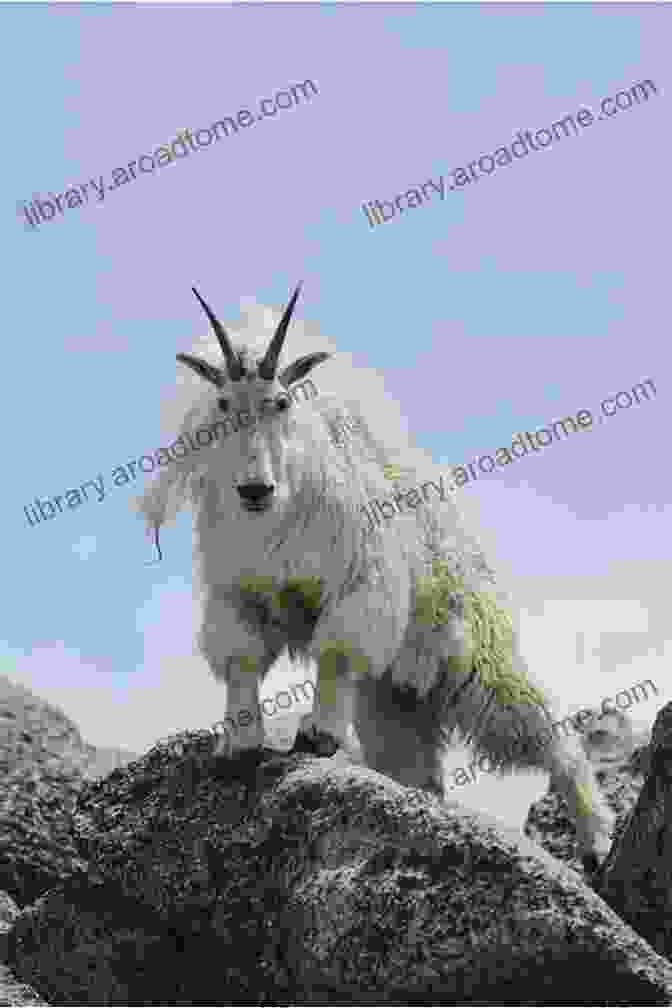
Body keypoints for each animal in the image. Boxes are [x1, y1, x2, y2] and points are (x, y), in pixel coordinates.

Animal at [135, 284, 616, 866]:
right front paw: (239, 744)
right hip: (393, 700)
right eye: (224, 404)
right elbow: (241, 660)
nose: (255, 489)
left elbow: (336, 654)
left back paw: (596, 839)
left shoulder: (359, 582)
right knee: (418, 768)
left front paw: (316, 737)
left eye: (282, 401)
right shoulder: (239, 593)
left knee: (548, 732)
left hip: (475, 661)